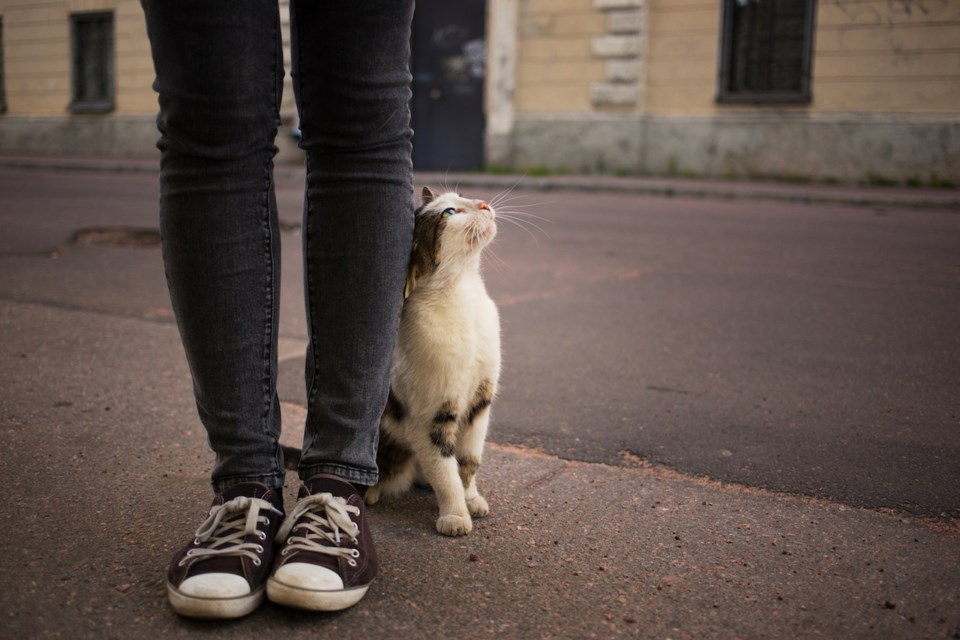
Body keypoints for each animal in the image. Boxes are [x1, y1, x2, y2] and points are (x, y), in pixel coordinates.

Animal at [364, 185, 502, 536]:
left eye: (461, 195)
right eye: (449, 213)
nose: (484, 203)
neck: (464, 295)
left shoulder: (480, 403)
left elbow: (469, 461)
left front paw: (471, 498)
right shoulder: (431, 417)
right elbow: (444, 471)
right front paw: (455, 515)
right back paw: (371, 491)